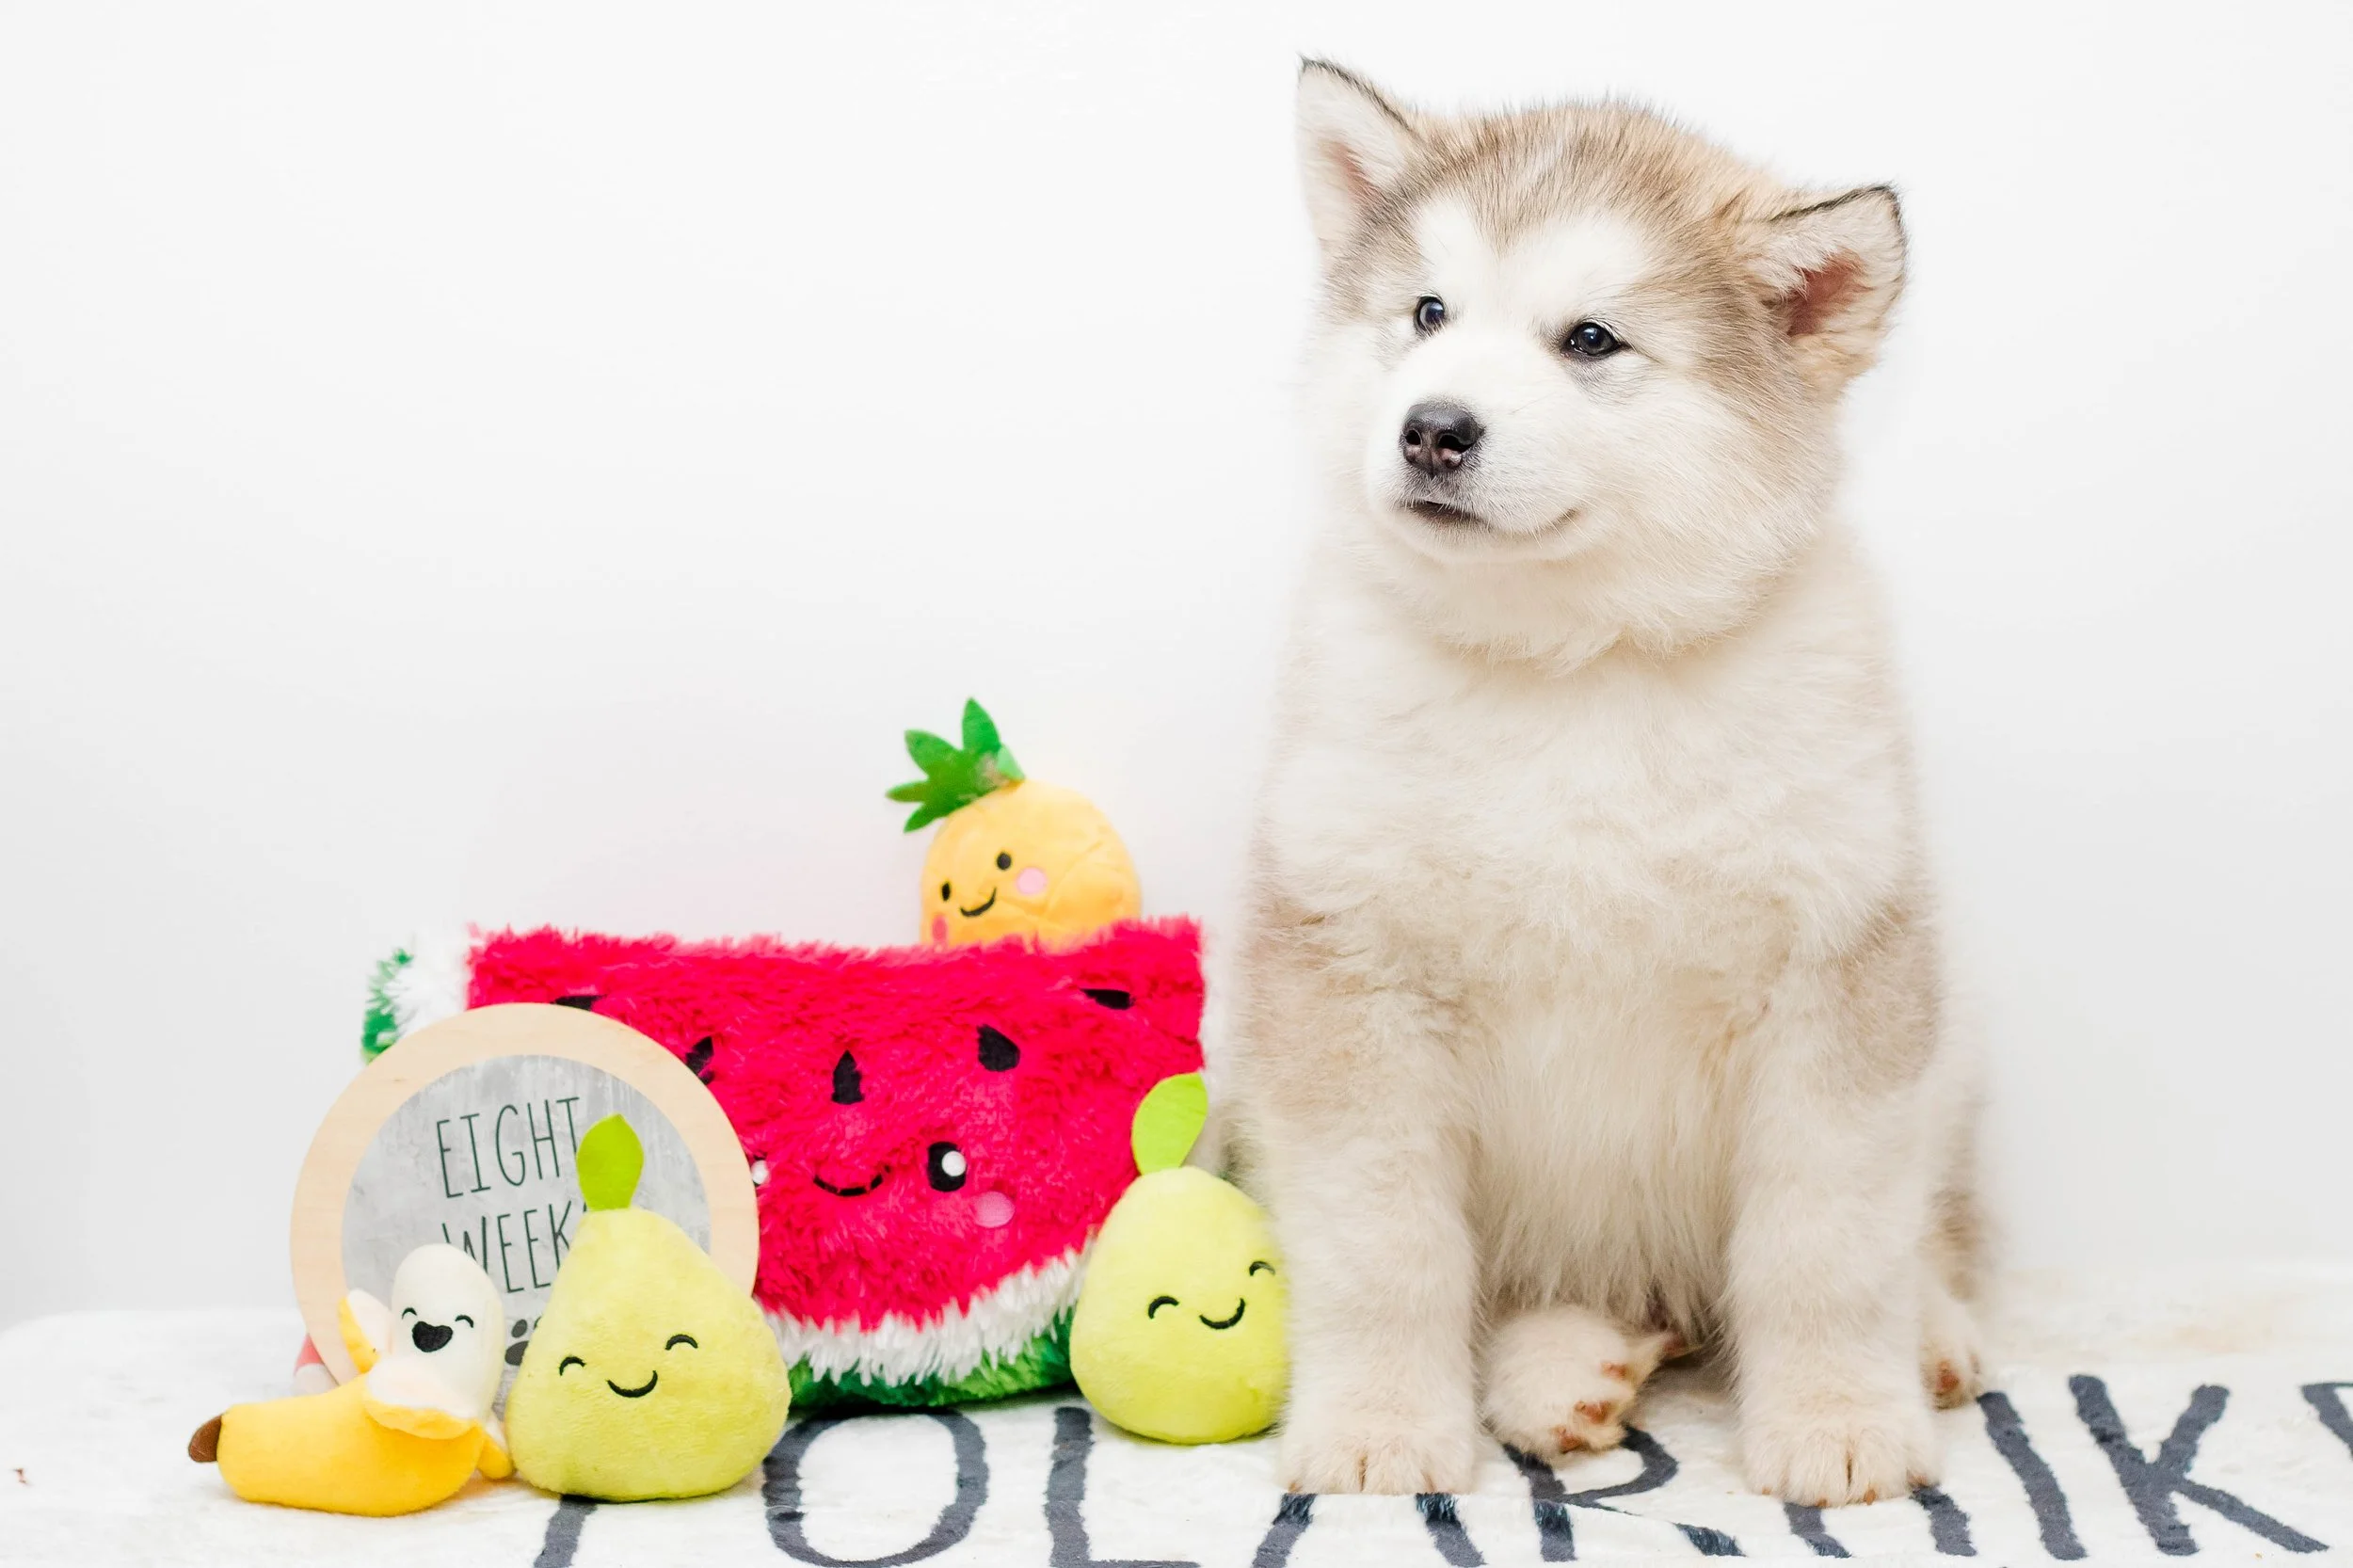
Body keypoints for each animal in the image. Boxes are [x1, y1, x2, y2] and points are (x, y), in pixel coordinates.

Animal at [1218, 62, 1984, 1506]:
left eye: (1589, 341)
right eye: (1428, 313)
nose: (1433, 428)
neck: (1574, 666)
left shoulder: (1837, 975)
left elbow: (1828, 1246)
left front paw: (1842, 1419)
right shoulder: (1350, 977)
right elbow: (1384, 1249)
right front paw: (1378, 1429)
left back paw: (1936, 1333)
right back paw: (1563, 1369)